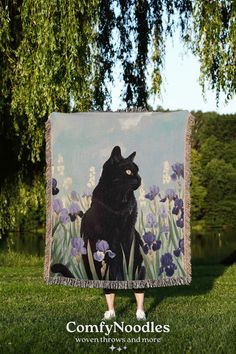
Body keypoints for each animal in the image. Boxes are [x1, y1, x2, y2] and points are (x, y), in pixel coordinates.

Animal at [50, 145, 145, 280]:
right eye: (128, 171)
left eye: (138, 171)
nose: (139, 178)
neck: (120, 201)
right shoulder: (109, 235)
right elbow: (115, 263)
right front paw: (117, 279)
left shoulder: (128, 233)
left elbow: (126, 258)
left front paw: (127, 276)